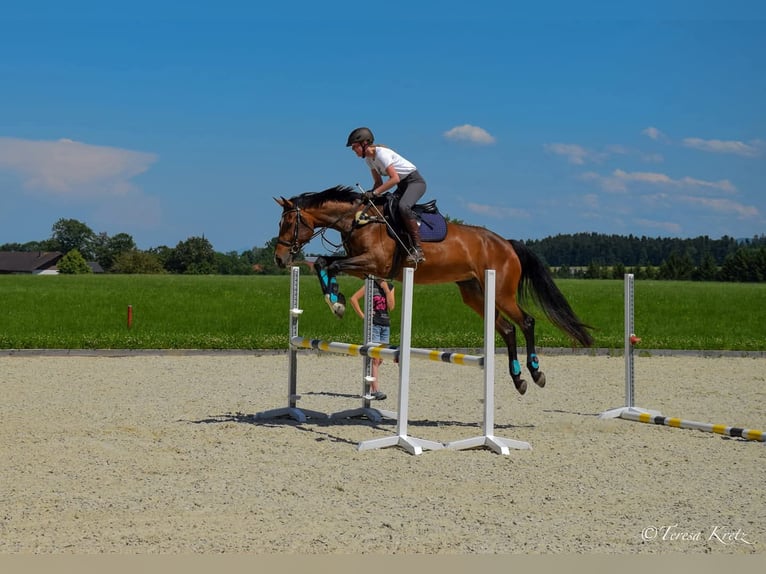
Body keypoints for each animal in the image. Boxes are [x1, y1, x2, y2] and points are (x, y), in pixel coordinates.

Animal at [273, 185, 594, 395]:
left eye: (288, 222)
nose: (279, 258)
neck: (359, 219)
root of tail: (507, 244)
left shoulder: (373, 262)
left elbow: (331, 264)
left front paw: (335, 301)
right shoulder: (365, 269)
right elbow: (324, 263)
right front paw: (336, 300)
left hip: (501, 292)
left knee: (526, 322)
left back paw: (536, 372)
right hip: (473, 294)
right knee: (507, 329)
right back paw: (518, 379)